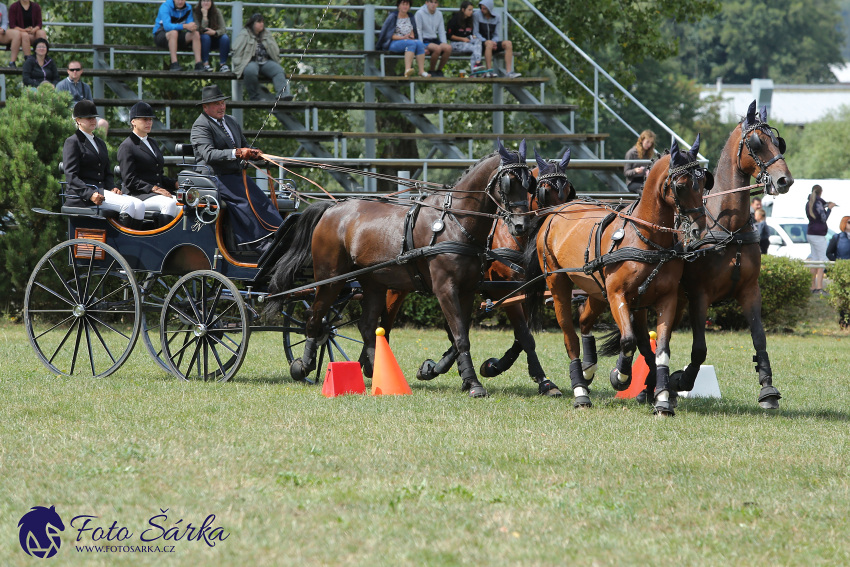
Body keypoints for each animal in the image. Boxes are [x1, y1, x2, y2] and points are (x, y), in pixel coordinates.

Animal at [264, 140, 532, 398]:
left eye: (529, 183)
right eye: (509, 182)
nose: (522, 225)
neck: (455, 222)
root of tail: (331, 208)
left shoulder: (466, 290)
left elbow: (459, 336)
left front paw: (448, 374)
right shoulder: (445, 289)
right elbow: (460, 337)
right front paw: (473, 383)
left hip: (373, 283)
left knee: (367, 326)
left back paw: (376, 371)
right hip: (331, 279)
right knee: (315, 317)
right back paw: (304, 365)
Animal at [380, 151, 572, 400]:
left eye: (568, 191)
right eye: (544, 191)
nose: (560, 229)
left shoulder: (517, 293)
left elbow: (522, 337)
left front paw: (538, 379)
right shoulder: (500, 290)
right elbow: (476, 334)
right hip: (397, 287)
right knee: (384, 324)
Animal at [524, 135, 708, 414]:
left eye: (704, 182)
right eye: (681, 185)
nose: (699, 229)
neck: (647, 239)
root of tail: (557, 212)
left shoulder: (665, 298)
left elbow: (659, 348)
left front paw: (663, 399)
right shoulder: (617, 295)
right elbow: (628, 339)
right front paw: (620, 376)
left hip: (596, 290)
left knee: (585, 321)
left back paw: (589, 370)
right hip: (559, 285)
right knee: (570, 336)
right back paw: (580, 390)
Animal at [668, 100, 796, 406]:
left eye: (778, 142)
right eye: (756, 142)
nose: (784, 180)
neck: (730, 229)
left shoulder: (750, 290)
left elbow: (759, 338)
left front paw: (767, 389)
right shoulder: (699, 295)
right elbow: (699, 348)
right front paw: (682, 380)